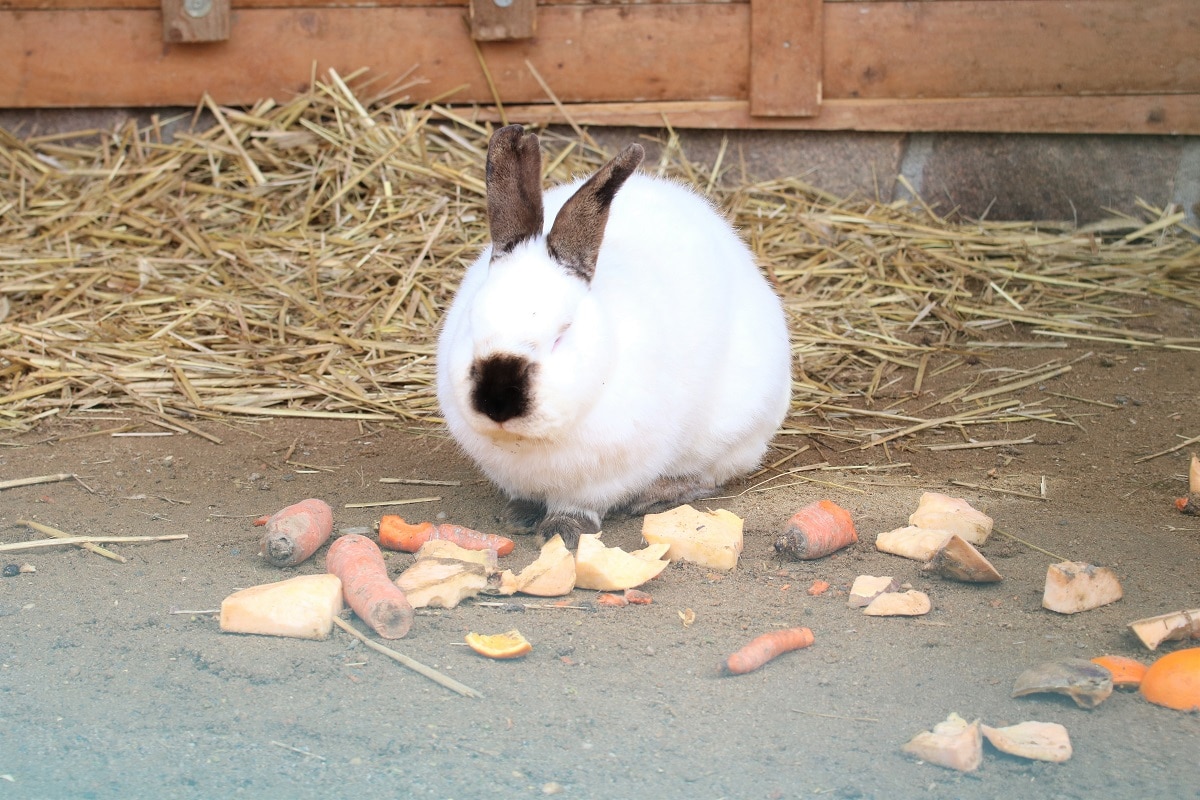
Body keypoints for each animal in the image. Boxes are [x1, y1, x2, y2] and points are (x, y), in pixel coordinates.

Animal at [436, 126, 792, 551]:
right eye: (471, 322)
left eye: (562, 334)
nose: (497, 401)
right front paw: (517, 515)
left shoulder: (603, 476)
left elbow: (579, 505)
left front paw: (563, 530)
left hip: (734, 428)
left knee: (712, 474)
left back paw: (658, 494)